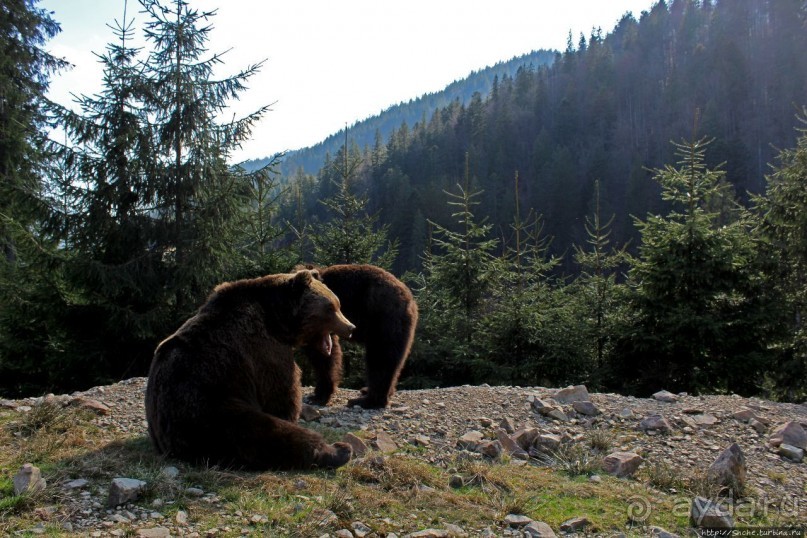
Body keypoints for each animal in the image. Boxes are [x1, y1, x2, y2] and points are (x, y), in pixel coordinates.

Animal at [144, 270, 356, 466]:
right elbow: (281, 393)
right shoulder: (263, 352)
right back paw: (339, 450)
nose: (351, 327)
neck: (278, 320)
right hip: (213, 414)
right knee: (272, 435)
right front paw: (290, 412)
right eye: (330, 307)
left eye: (338, 304)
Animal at [300, 262, 420, 406]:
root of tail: (409, 298)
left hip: (383, 320)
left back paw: (368, 400)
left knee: (380, 357)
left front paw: (320, 395)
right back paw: (369, 391)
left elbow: (324, 355)